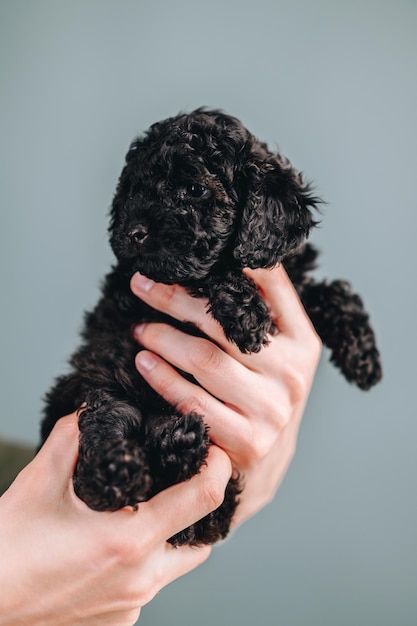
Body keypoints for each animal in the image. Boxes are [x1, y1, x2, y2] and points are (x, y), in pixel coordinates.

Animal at [41, 109, 380, 544]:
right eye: (132, 191)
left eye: (196, 190)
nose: (133, 232)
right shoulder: (134, 290)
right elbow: (208, 271)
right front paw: (248, 315)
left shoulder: (293, 279)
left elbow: (333, 292)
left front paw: (364, 358)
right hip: (102, 386)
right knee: (105, 435)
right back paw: (124, 470)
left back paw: (177, 447)